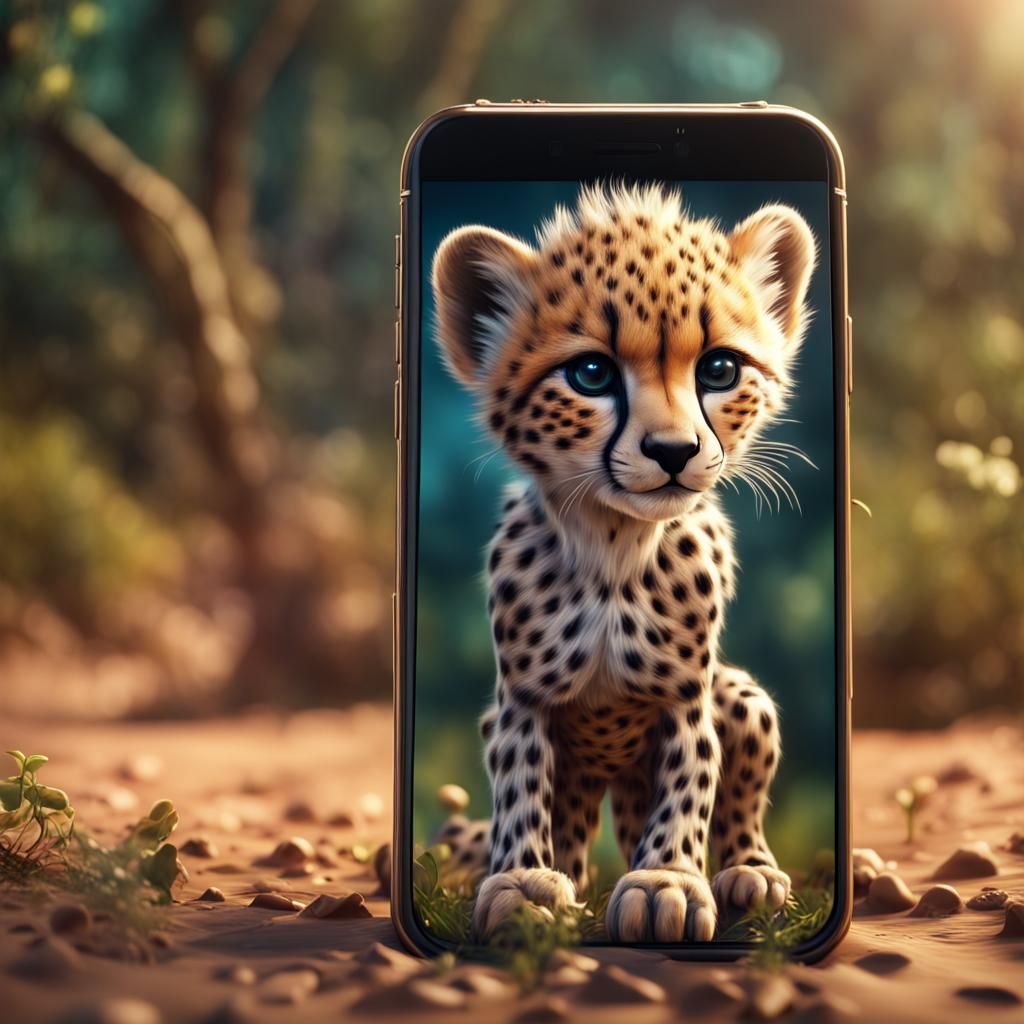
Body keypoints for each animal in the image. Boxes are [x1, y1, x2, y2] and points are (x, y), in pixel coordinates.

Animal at [430, 182, 816, 943]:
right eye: (591, 373)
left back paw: (748, 873)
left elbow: (693, 786)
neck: (614, 547)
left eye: (720, 369)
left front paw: (666, 880)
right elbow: (519, 784)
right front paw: (521, 883)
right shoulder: (520, 702)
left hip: (743, 698)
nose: (673, 451)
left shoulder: (687, 700)